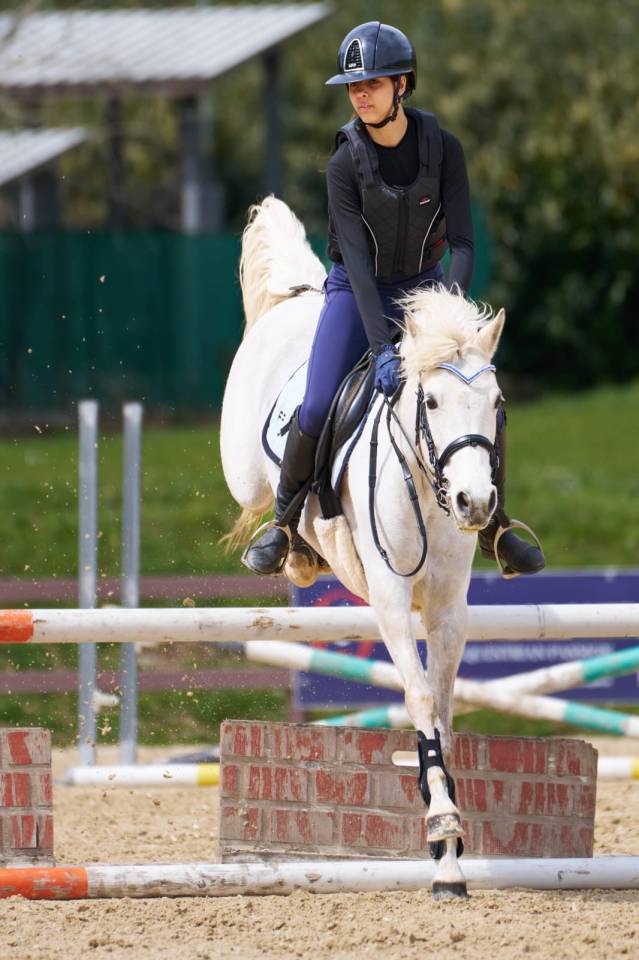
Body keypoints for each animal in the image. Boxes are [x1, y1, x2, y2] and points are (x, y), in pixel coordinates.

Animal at [220, 196, 506, 899]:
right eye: (432, 400)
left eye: (495, 403)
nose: (475, 503)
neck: (428, 487)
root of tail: (301, 296)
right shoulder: (391, 598)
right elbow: (420, 696)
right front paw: (442, 828)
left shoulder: (449, 608)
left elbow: (444, 704)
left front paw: (447, 846)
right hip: (244, 465)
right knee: (270, 494)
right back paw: (283, 545)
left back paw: (301, 552)